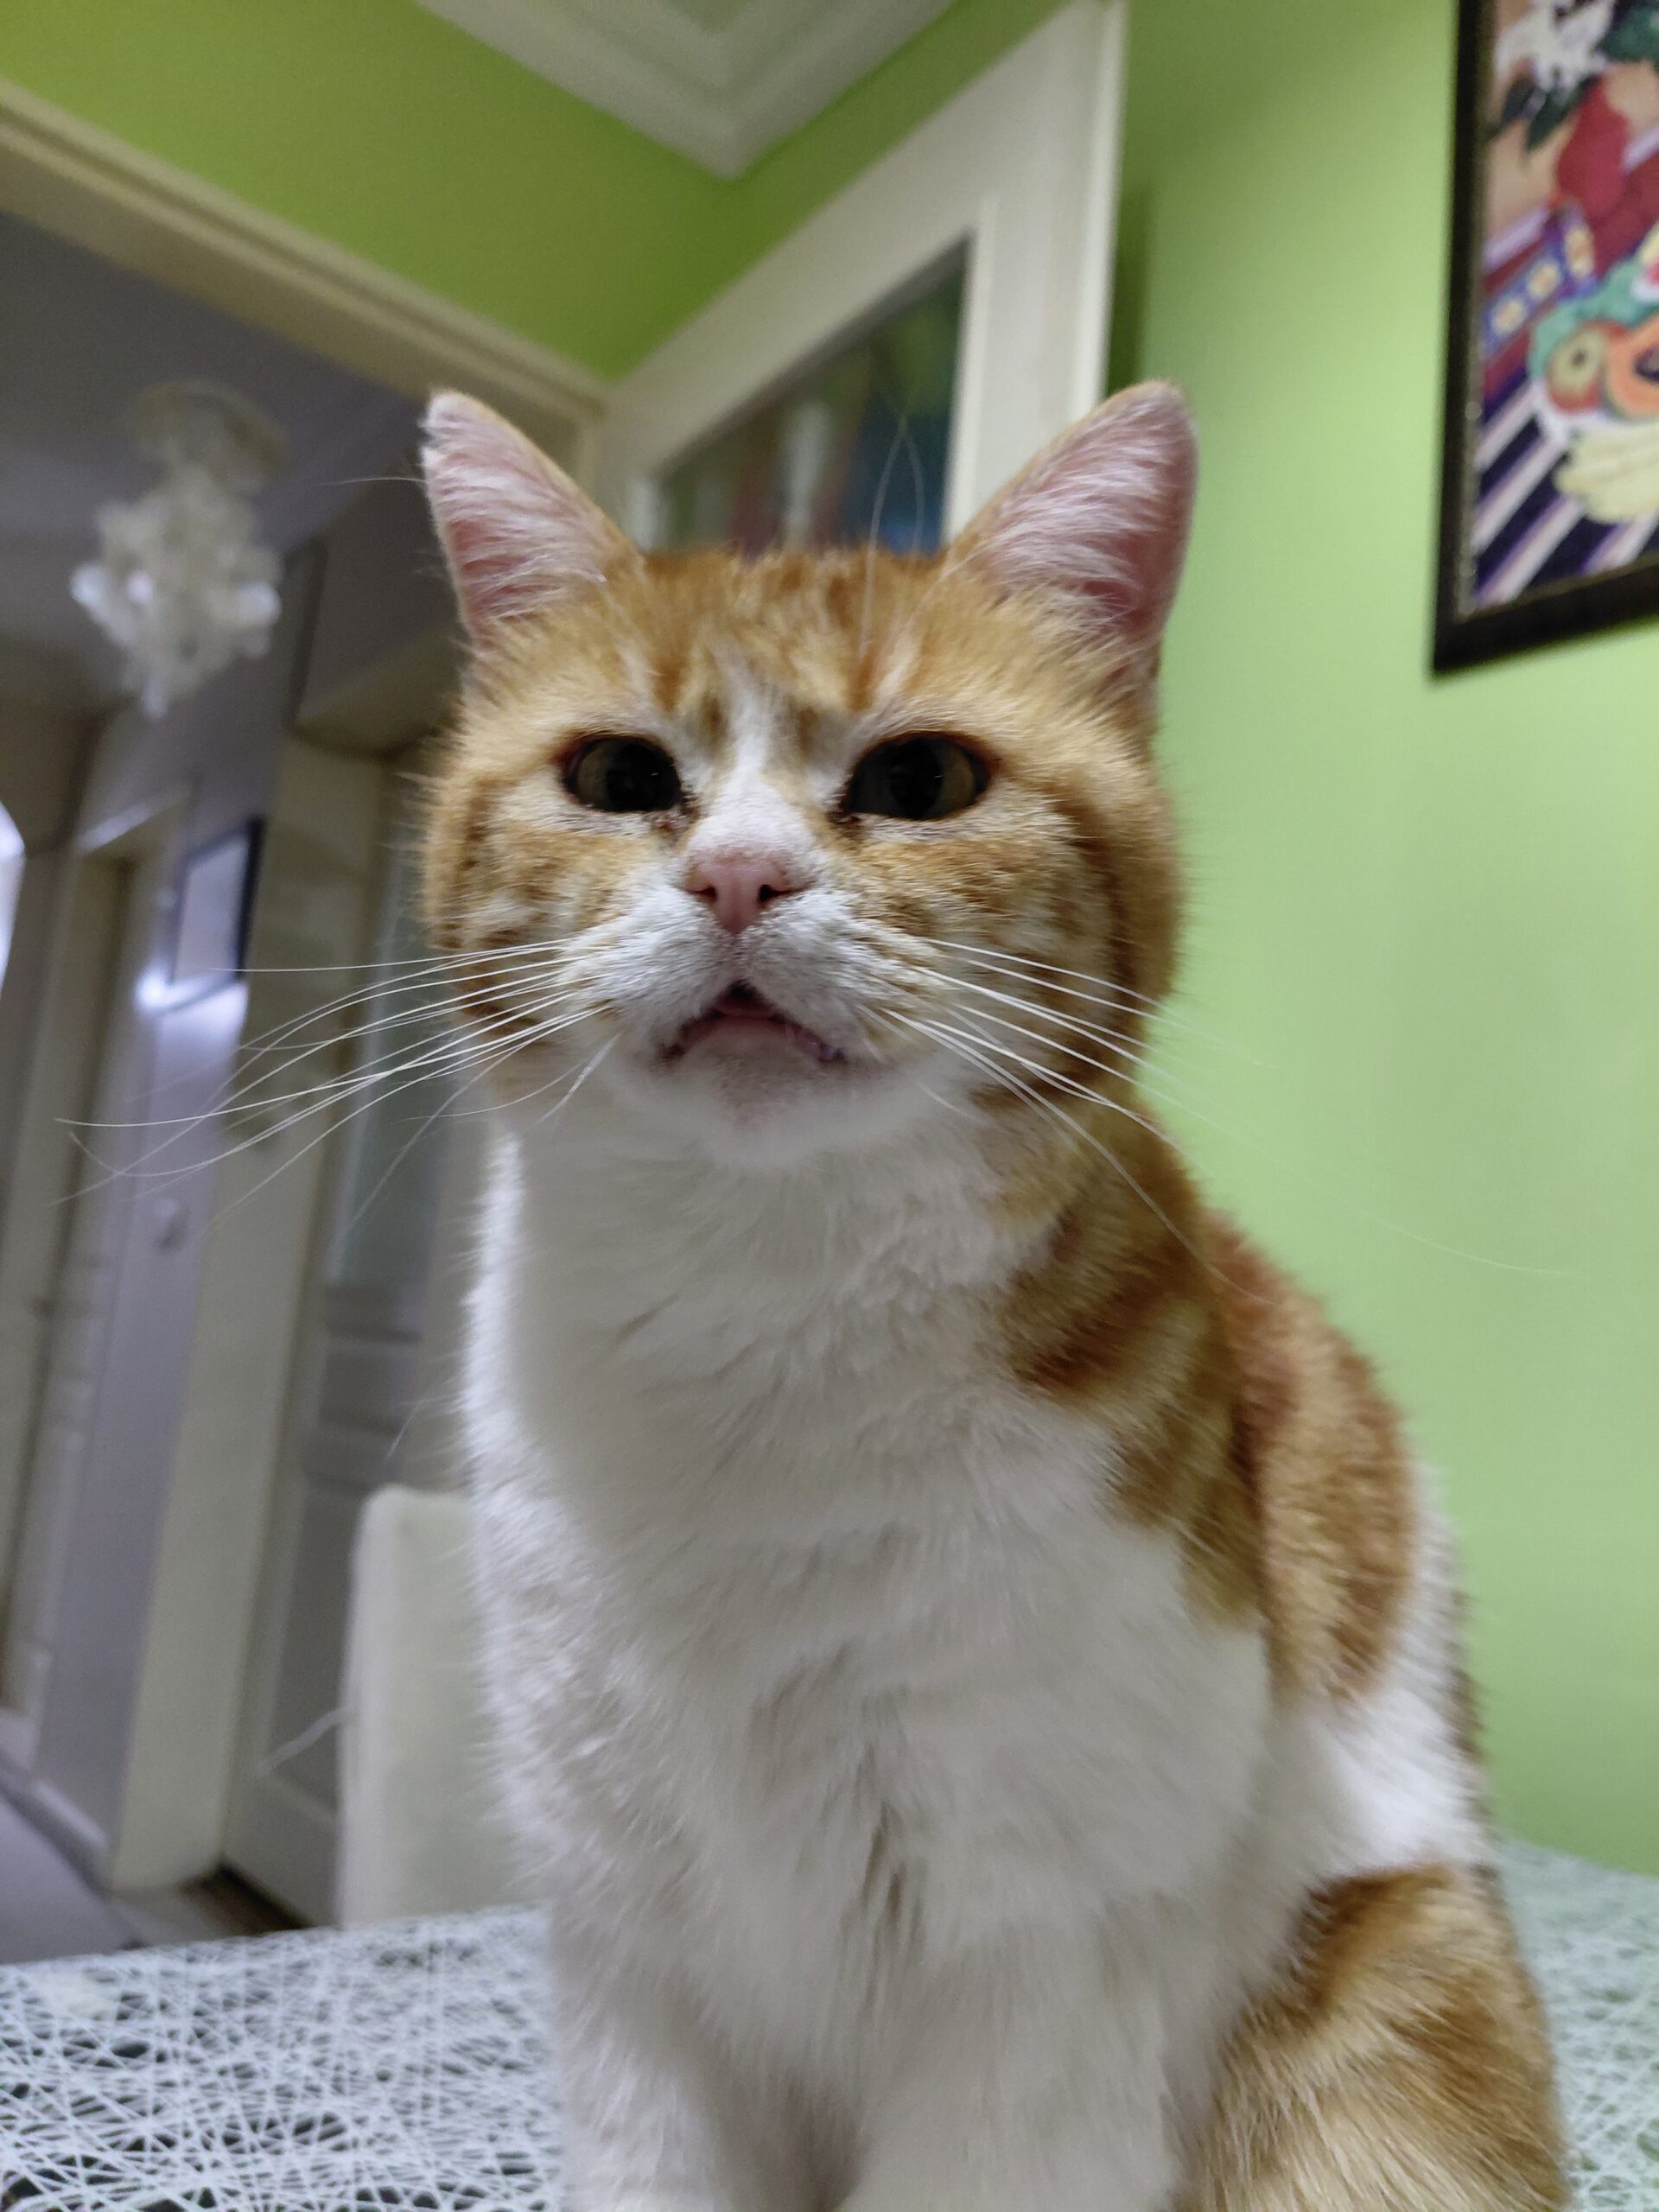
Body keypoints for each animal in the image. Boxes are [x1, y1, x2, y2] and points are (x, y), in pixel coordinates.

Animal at [418, 383, 1566, 2212]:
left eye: (921, 779)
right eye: (619, 777)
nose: (739, 877)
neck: (767, 1325)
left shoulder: (1038, 1979)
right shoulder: (630, 1954)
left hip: (1389, 1994)